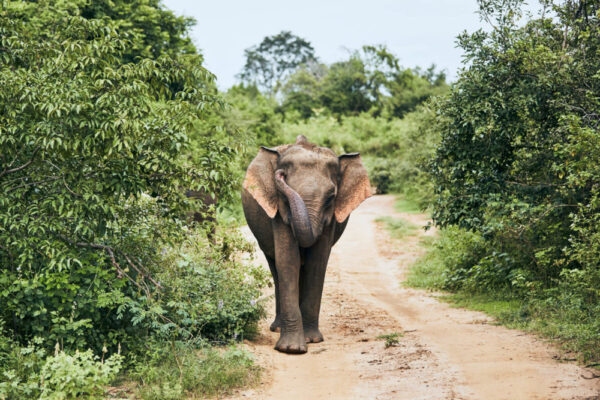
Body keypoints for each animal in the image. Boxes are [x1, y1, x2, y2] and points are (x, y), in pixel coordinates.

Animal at [240, 135, 370, 354]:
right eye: (284, 195)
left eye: (331, 197)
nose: (280, 174)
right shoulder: (278, 212)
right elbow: (288, 260)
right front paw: (292, 349)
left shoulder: (330, 220)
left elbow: (316, 262)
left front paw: (311, 340)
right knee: (275, 267)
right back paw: (277, 328)